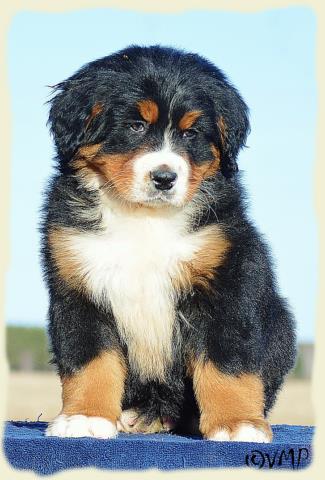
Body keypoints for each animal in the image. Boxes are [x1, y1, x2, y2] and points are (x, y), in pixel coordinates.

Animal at [41, 45, 294, 442]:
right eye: (135, 126)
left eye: (191, 134)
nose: (164, 178)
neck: (144, 219)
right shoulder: (78, 286)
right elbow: (90, 359)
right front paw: (84, 417)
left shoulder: (228, 281)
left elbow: (228, 362)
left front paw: (236, 423)